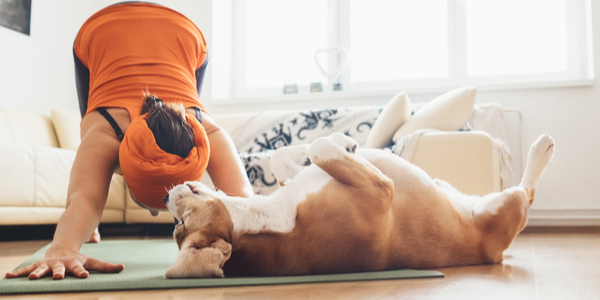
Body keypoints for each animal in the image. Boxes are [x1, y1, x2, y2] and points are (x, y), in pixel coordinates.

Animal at [163, 132, 552, 278]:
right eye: (179, 225)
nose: (165, 197)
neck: (268, 218)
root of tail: (495, 255)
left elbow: (283, 157)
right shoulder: (381, 190)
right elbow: (319, 146)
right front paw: (341, 139)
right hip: (509, 205)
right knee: (527, 193)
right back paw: (540, 150)